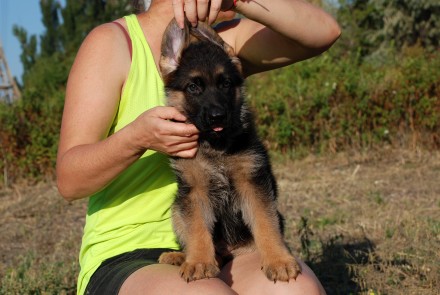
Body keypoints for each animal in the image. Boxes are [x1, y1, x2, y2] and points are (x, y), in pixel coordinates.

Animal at [156, 18, 300, 284]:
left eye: (225, 84)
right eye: (193, 87)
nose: (217, 116)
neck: (215, 145)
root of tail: (227, 252)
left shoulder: (252, 183)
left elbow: (265, 223)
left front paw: (278, 261)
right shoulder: (195, 192)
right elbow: (197, 229)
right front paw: (199, 262)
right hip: (178, 207)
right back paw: (181, 256)